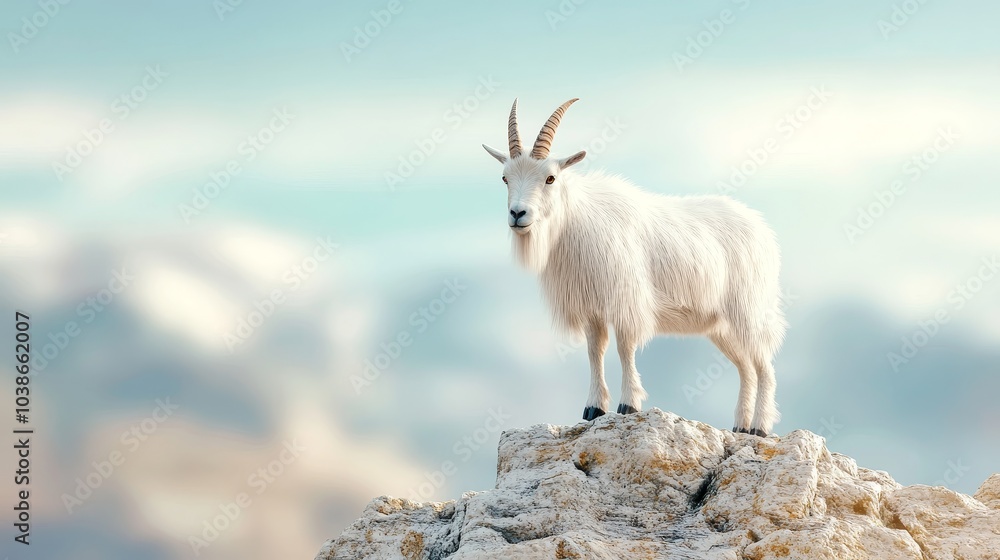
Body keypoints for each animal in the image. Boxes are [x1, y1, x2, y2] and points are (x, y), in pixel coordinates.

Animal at [482, 99, 786, 436]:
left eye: (550, 178)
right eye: (505, 178)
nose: (517, 214)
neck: (577, 219)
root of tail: (763, 231)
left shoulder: (625, 300)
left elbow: (624, 348)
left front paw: (628, 405)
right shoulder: (592, 309)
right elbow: (595, 351)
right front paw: (593, 409)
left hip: (749, 310)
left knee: (764, 366)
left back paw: (759, 428)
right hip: (721, 326)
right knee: (746, 367)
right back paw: (740, 427)